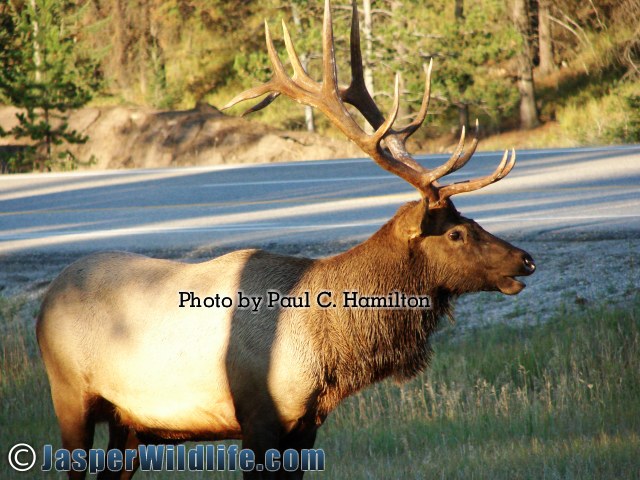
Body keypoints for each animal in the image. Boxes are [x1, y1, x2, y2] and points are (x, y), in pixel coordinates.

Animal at [35, 1, 536, 478]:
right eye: (455, 232)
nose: (526, 259)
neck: (326, 351)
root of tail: (43, 306)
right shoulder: (257, 418)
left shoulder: (306, 425)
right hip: (70, 395)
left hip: (130, 423)